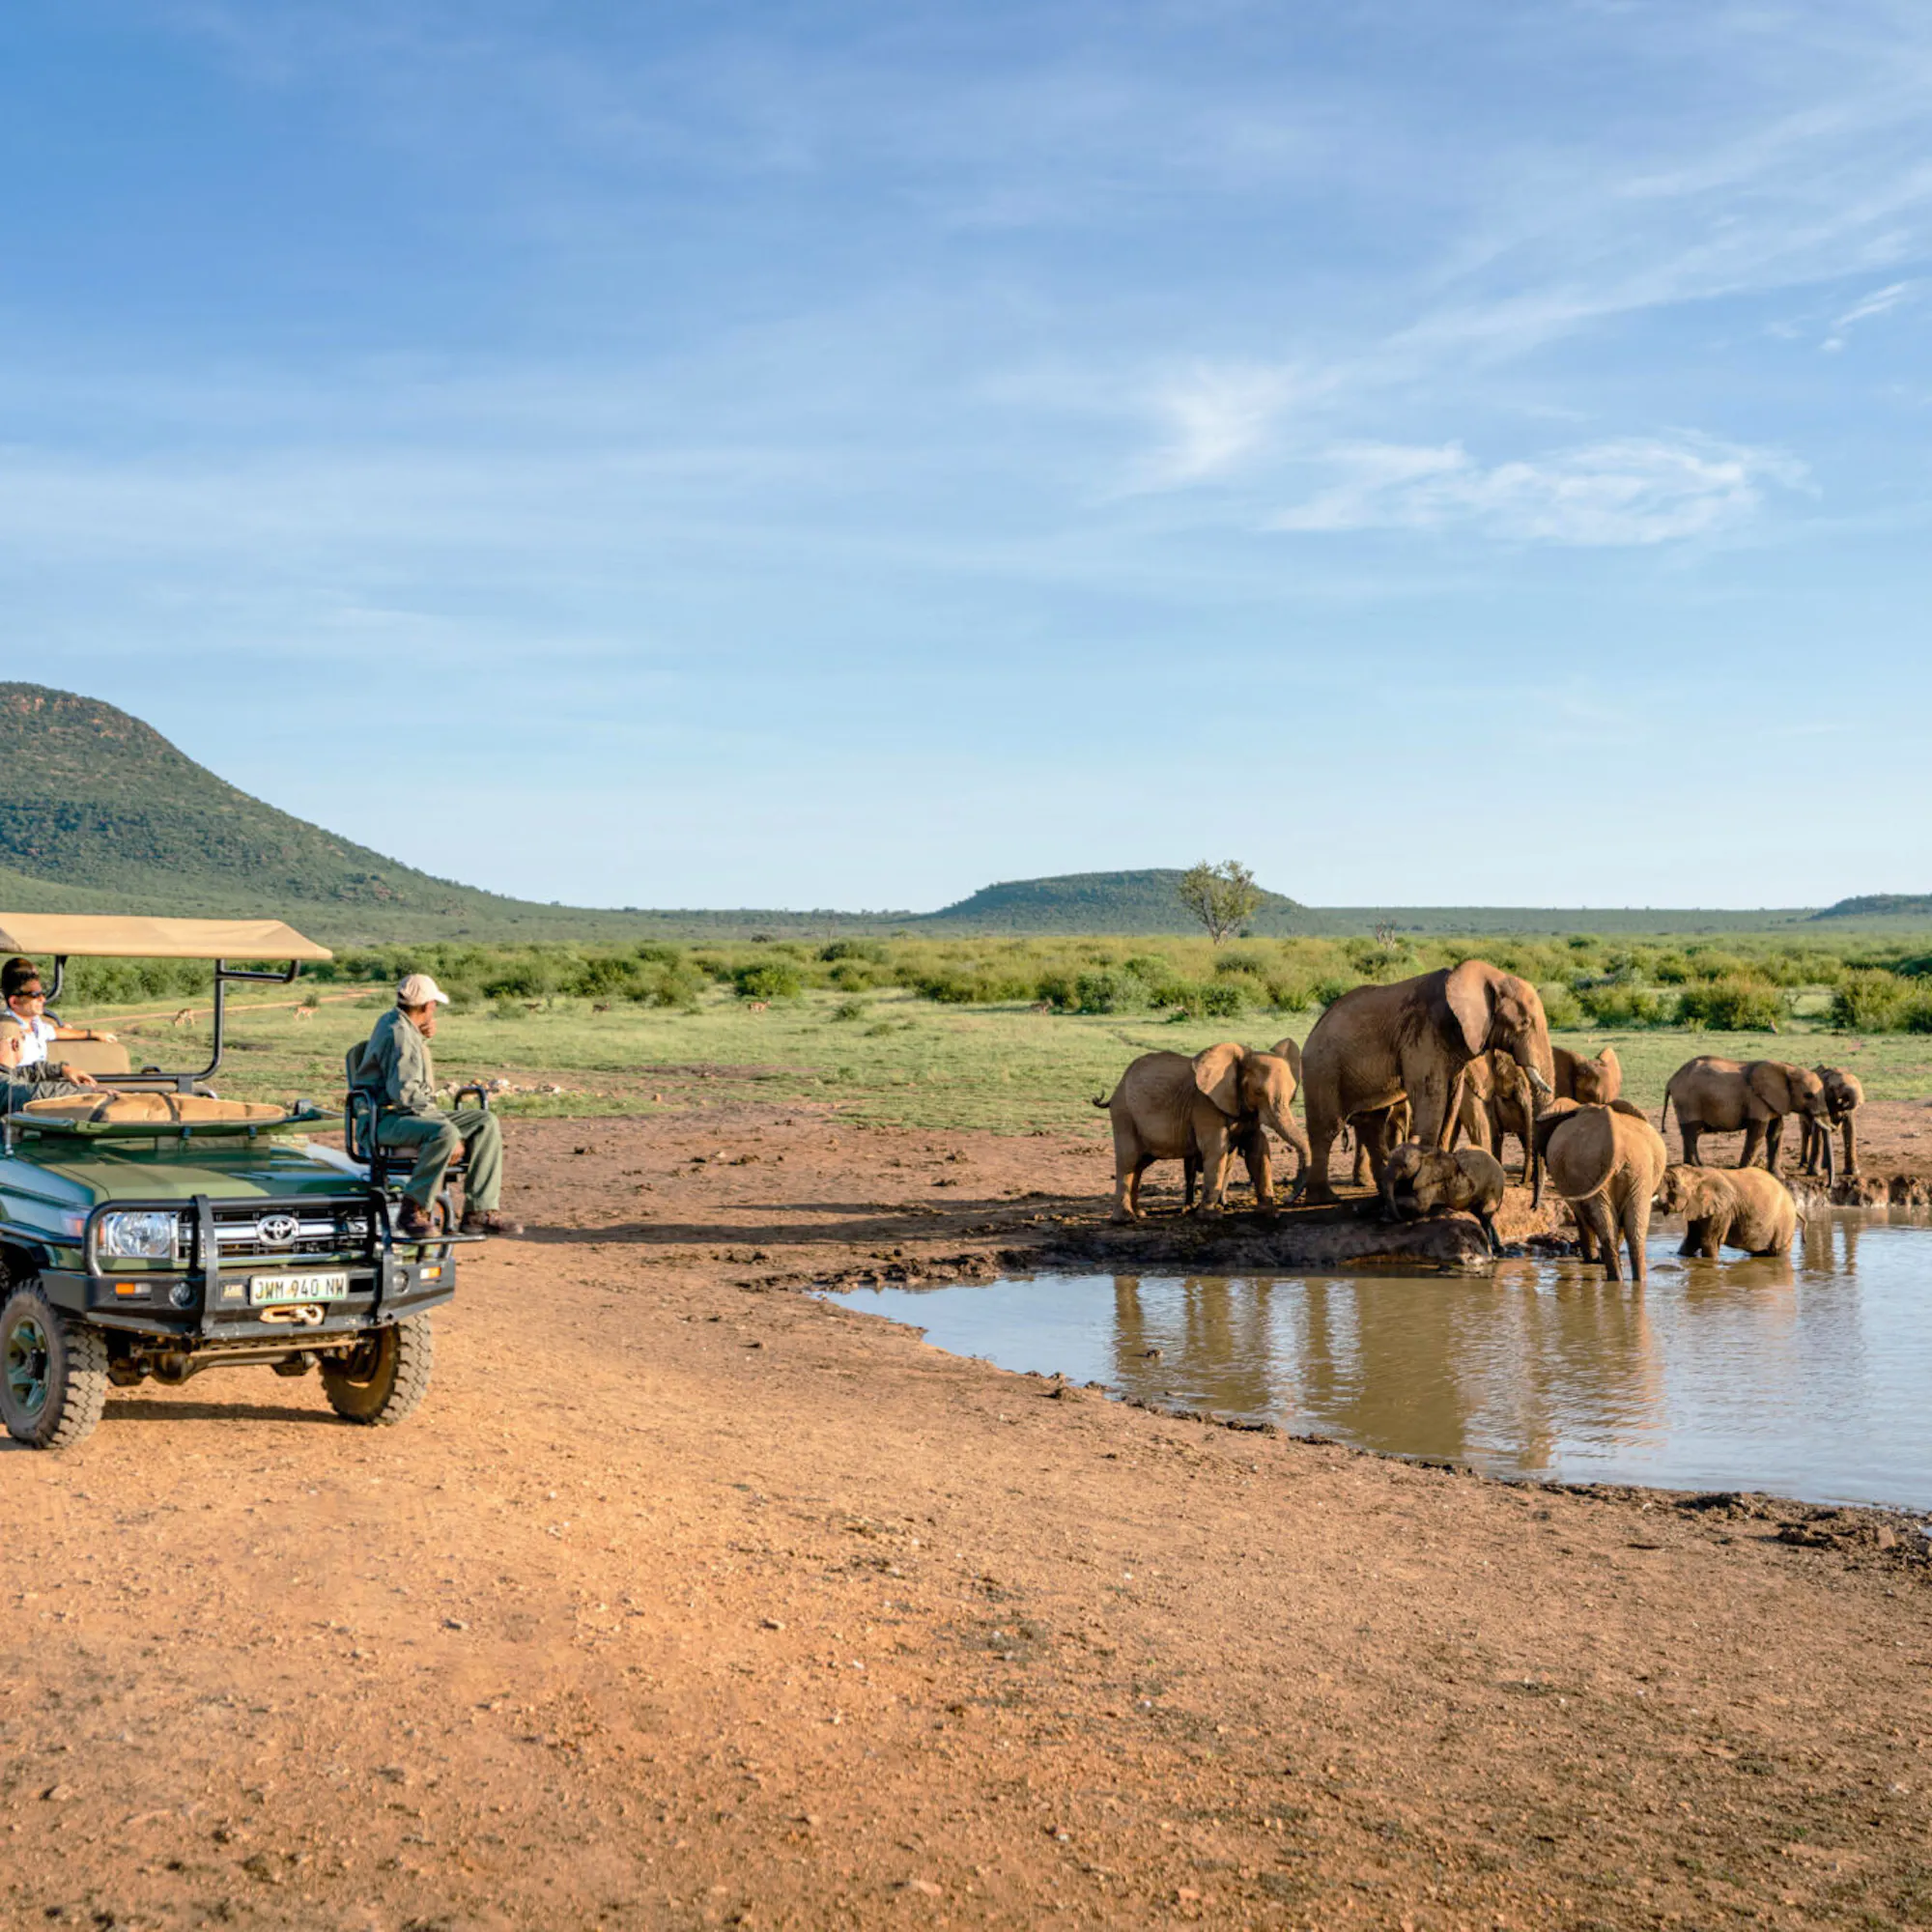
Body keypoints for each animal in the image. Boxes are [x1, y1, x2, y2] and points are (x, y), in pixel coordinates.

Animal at [1095, 1043, 1308, 1222]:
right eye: (1258, 1092)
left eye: (1292, 1096)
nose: (1287, 1198)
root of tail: (1117, 1088)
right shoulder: (1205, 1105)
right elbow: (1216, 1150)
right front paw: (1210, 1216)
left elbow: (1258, 1148)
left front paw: (1271, 1213)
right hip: (1124, 1113)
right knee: (1128, 1160)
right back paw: (1125, 1219)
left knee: (1139, 1164)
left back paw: (1140, 1213)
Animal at [1296, 961, 1555, 1205]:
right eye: (1524, 1023)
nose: (1533, 1203)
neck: (1490, 976)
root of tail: (1315, 1028)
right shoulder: (1423, 1033)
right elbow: (1432, 1095)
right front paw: (1422, 1191)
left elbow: (1450, 1102)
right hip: (1323, 1068)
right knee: (1327, 1127)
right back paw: (1326, 1199)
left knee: (1372, 1123)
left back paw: (1383, 1192)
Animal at [1533, 1100, 1669, 1283]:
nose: (1534, 1207)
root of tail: (1616, 1146)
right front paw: (1596, 1260)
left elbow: (1582, 1215)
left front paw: (1592, 1260)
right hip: (1639, 1172)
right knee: (1634, 1229)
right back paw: (1633, 1280)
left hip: (1593, 1168)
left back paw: (1613, 1276)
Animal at [1654, 1163, 1801, 1259]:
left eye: (1672, 1184)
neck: (1696, 1172)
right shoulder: (1697, 1207)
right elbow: (1692, 1240)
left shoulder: (1723, 1210)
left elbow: (1709, 1242)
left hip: (1784, 1222)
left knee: (1778, 1251)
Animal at [1659, 1058, 1834, 1179]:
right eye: (1808, 1095)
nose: (1827, 1182)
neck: (1788, 1069)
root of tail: (1671, 1081)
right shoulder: (1757, 1099)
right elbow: (1758, 1131)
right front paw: (1744, 1171)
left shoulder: (1774, 1101)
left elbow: (1776, 1132)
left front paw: (1778, 1176)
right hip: (1688, 1101)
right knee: (1691, 1131)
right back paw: (1698, 1167)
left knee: (1689, 1133)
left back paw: (1694, 1166)